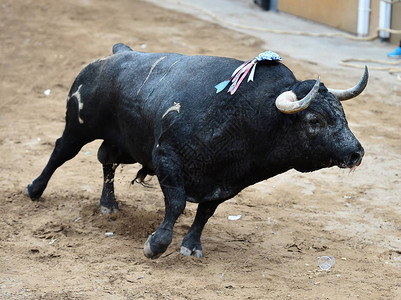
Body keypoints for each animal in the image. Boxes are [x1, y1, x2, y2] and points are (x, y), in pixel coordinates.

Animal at [26, 43, 368, 258]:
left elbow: (205, 213)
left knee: (106, 159)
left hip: (124, 144)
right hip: (78, 126)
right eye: (314, 119)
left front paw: (191, 246)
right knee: (60, 153)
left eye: (342, 114)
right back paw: (35, 189)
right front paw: (156, 245)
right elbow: (177, 204)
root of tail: (117, 55)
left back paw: (108, 204)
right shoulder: (166, 159)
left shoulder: (225, 183)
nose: (356, 153)